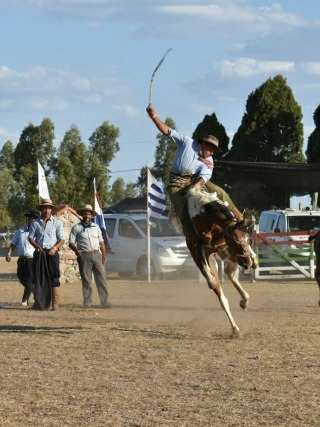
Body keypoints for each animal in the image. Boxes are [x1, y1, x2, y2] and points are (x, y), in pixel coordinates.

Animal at [186, 189, 258, 340]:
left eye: (248, 238)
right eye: (236, 241)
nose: (248, 263)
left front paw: (254, 258)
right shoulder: (200, 247)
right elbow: (206, 268)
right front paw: (211, 281)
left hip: (230, 255)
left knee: (230, 273)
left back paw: (244, 300)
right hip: (213, 259)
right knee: (223, 298)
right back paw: (235, 328)